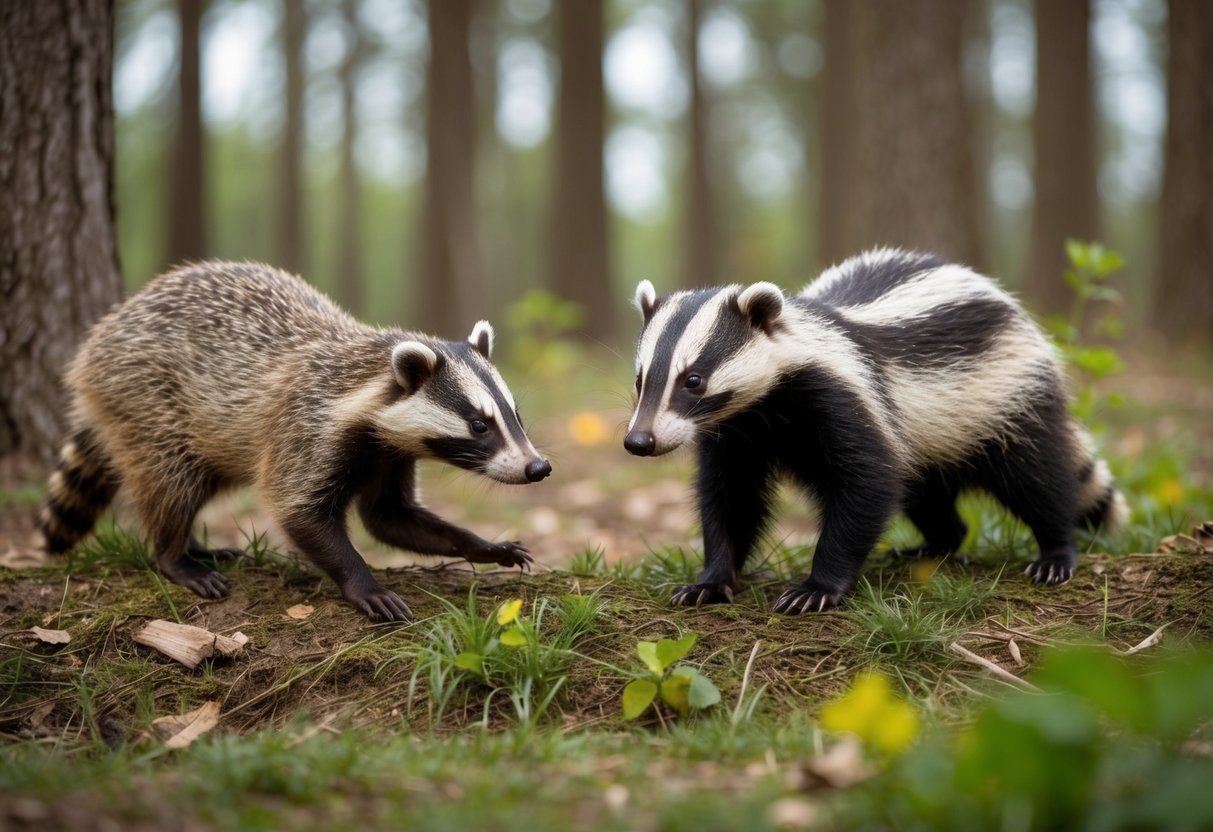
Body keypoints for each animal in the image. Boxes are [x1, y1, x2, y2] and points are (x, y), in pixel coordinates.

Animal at [39, 261, 551, 622]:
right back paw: (175, 554)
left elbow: (391, 517)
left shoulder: (389, 454)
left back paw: (197, 545)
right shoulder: (307, 426)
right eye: (479, 425)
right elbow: (299, 511)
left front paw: (486, 546)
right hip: (146, 397)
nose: (538, 467)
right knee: (170, 479)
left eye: (515, 415)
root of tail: (97, 342)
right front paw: (365, 584)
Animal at [624, 248, 1127, 614]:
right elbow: (731, 498)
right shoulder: (737, 434)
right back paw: (933, 545)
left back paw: (1055, 553)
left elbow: (867, 482)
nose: (639, 441)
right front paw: (710, 580)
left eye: (693, 380)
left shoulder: (842, 398)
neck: (766, 410)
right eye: (641, 378)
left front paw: (816, 587)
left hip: (1009, 401)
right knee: (929, 497)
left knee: (1036, 477)